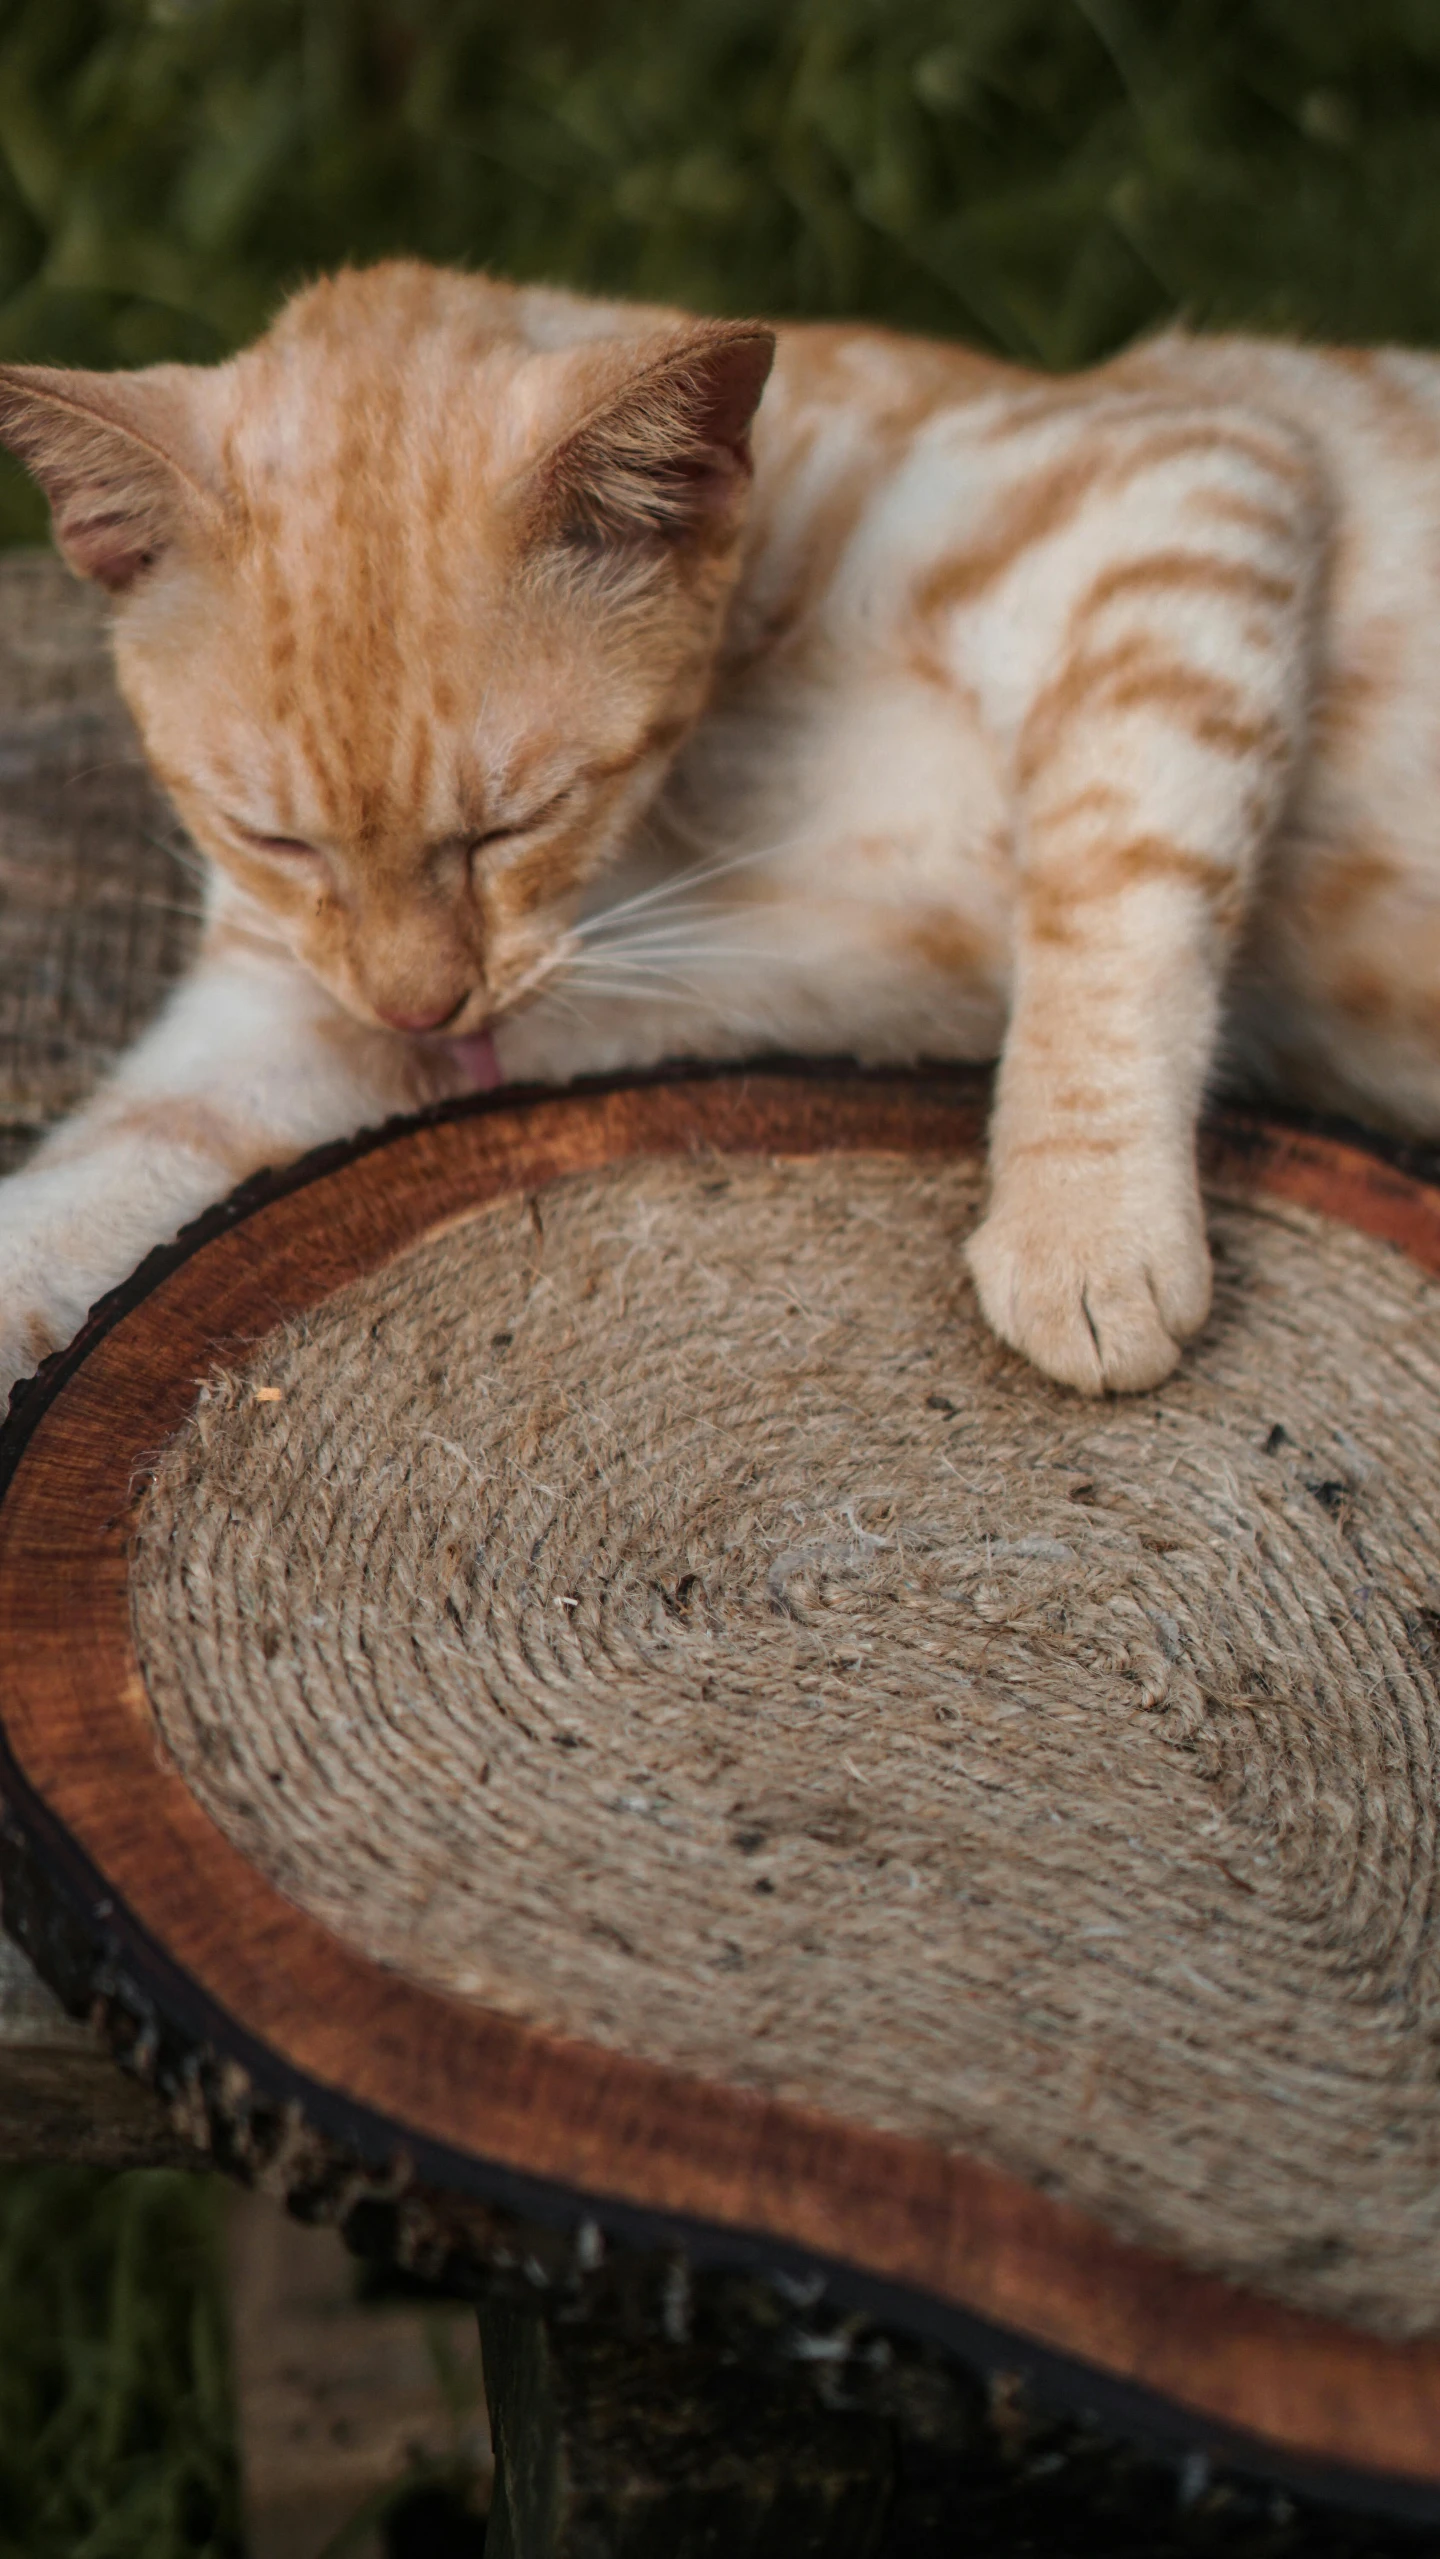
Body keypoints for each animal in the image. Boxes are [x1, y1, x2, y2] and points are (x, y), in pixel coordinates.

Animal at [0, 264, 1432, 1402]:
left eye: (515, 823)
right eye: (276, 841)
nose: (423, 1009)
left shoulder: (1181, 489)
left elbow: (1116, 879)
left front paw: (1086, 1234)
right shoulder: (279, 1033)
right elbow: (87, 1189)